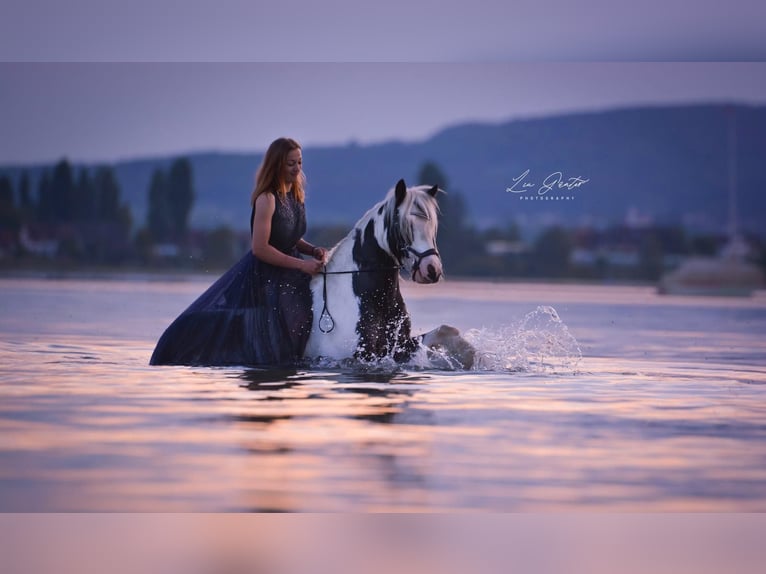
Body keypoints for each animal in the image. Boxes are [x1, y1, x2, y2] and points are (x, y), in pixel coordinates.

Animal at [304, 178, 474, 372]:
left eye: (432, 226)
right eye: (401, 226)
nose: (431, 269)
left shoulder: (400, 346)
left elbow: (445, 330)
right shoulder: (356, 356)